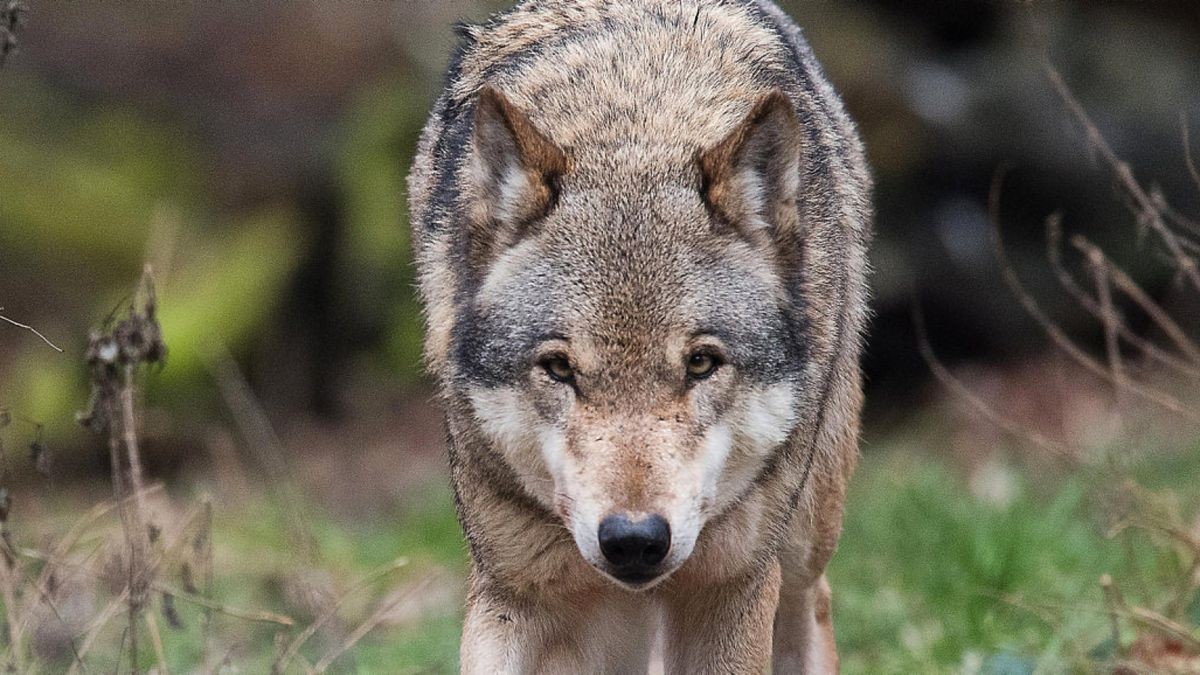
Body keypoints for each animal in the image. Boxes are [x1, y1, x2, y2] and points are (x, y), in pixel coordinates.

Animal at [408, 0, 868, 667]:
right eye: (559, 368)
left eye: (701, 363)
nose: (633, 540)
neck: (633, 124)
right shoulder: (512, 592)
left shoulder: (732, 588)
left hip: (804, 535)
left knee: (815, 597)